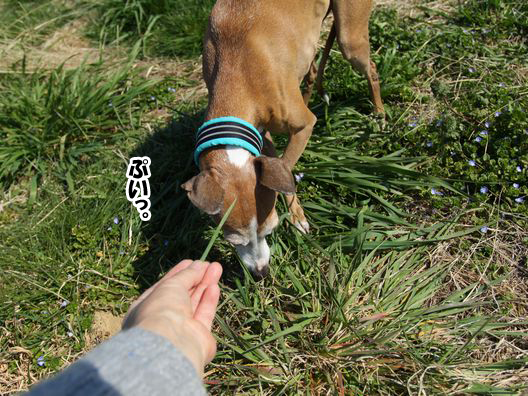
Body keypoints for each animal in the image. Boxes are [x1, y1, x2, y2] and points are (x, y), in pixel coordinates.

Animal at [183, 0, 384, 276]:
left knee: (369, 67)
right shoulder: (258, 133)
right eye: (233, 240)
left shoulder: (303, 126)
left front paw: (296, 215)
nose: (261, 273)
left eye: (270, 230)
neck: (237, 70)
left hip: (350, 40)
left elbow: (285, 167)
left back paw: (379, 112)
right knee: (311, 69)